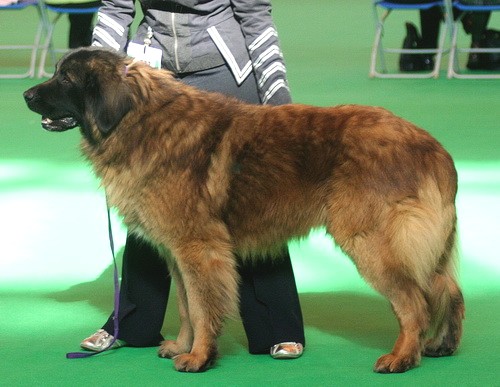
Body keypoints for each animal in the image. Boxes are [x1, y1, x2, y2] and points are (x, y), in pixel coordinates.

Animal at [24, 47, 464, 374]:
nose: (26, 95)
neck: (140, 121)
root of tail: (433, 148)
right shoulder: (179, 253)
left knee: (414, 301)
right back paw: (442, 345)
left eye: (66, 78)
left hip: (369, 241)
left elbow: (203, 307)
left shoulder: (200, 248)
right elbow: (186, 307)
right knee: (447, 290)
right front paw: (182, 347)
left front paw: (200, 357)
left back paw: (402, 358)